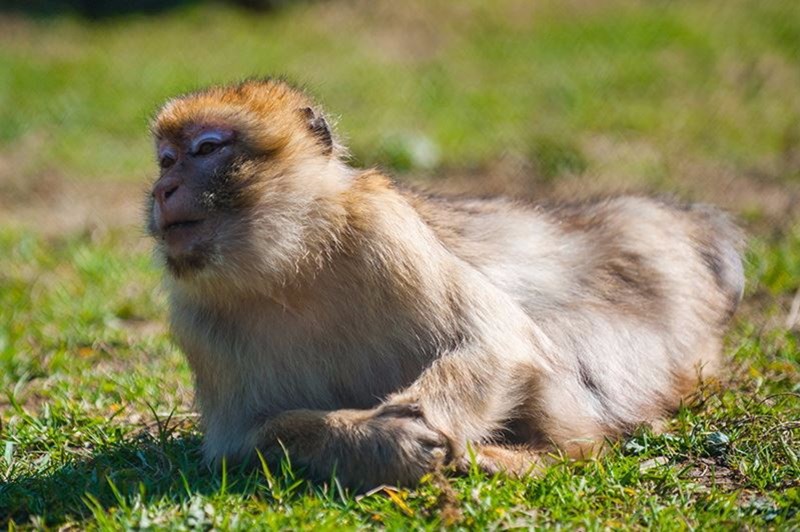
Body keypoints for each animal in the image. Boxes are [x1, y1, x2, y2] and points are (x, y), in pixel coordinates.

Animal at [145, 77, 744, 488]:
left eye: (207, 149)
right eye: (166, 159)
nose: (162, 189)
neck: (291, 266)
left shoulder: (384, 232)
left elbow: (498, 342)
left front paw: (417, 427)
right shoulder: (198, 323)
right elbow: (246, 442)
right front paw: (379, 440)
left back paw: (533, 457)